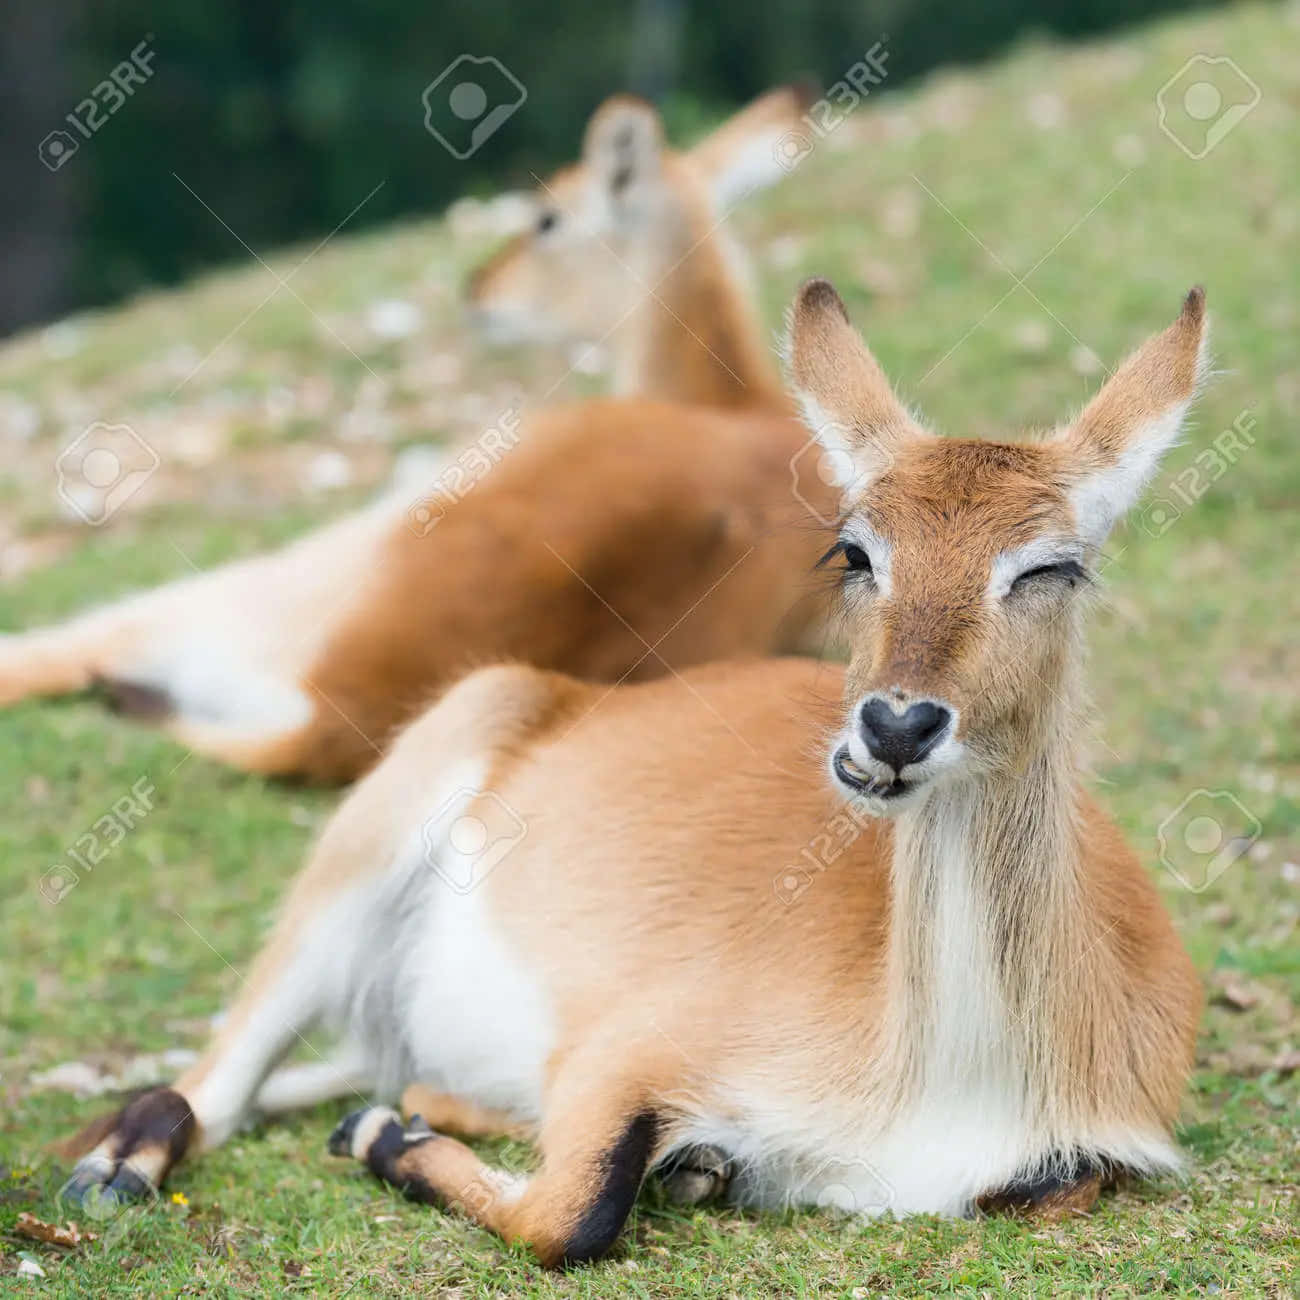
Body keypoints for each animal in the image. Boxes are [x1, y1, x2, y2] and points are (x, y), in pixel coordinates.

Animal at [0, 86, 829, 783]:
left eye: (546, 218)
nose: (477, 290)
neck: (731, 409)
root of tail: (333, 710)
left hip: (243, 587)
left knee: (70, 646)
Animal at [58, 279, 1206, 1267]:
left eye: (1051, 566)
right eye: (854, 551)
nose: (893, 728)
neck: (945, 1079)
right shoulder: (620, 1049)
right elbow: (571, 1214)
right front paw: (384, 1141)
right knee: (210, 1088)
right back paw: (116, 1169)